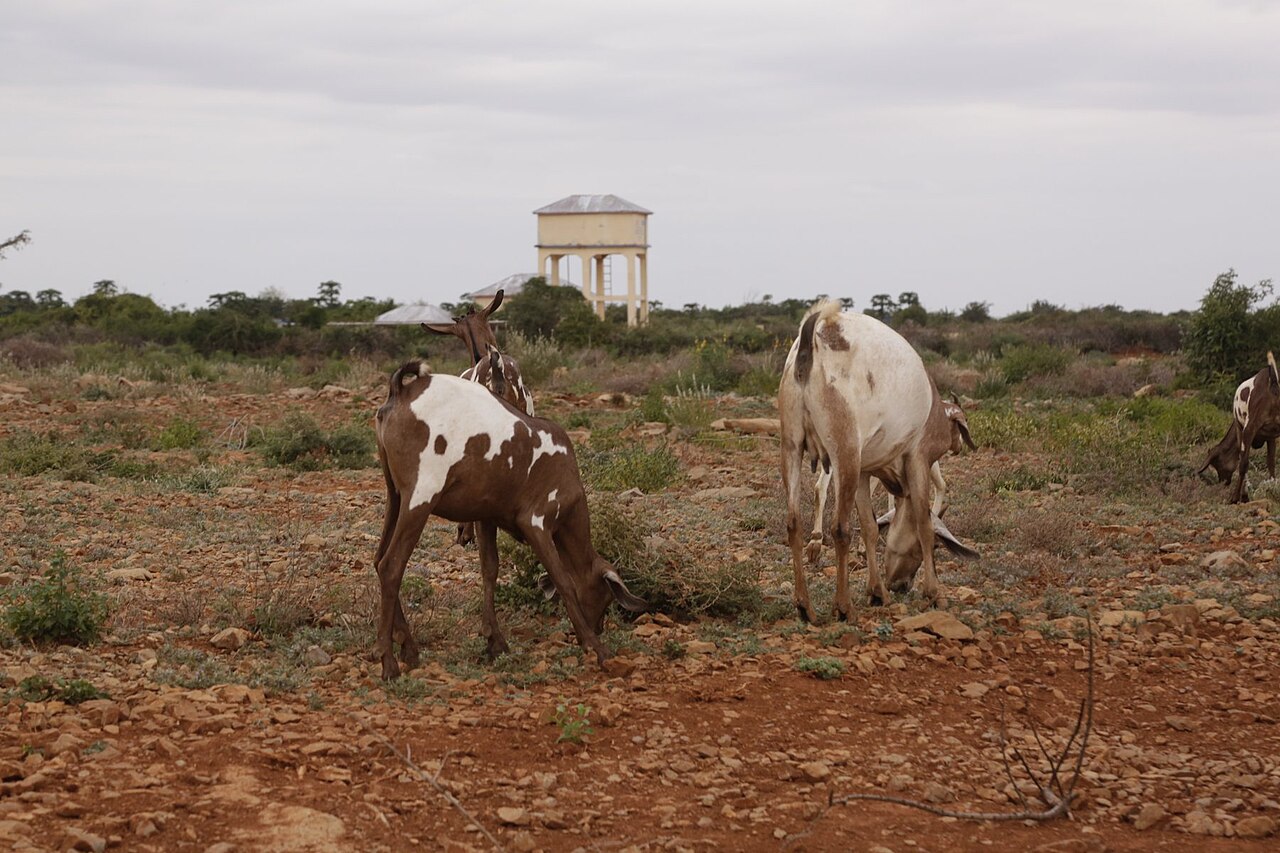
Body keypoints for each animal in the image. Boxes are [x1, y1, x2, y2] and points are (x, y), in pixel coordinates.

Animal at [373, 361, 645, 680]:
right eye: (605, 597)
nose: (598, 627)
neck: (568, 477)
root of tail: (401, 393)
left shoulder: (486, 516)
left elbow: (490, 569)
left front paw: (495, 640)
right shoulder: (536, 522)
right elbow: (563, 580)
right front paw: (596, 646)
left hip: (395, 496)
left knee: (378, 561)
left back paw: (408, 647)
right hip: (421, 496)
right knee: (391, 566)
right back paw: (388, 660)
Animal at [780, 302, 978, 620]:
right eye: (937, 546)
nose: (901, 585)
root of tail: (814, 338)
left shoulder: (865, 470)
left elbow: (871, 528)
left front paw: (876, 591)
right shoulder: (918, 459)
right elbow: (923, 522)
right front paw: (933, 592)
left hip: (792, 448)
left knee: (793, 523)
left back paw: (804, 605)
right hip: (845, 452)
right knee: (839, 528)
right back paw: (843, 606)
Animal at [1199, 352, 1280, 503]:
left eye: (1217, 463)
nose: (1223, 482)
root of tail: (1272, 383)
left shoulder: (1240, 428)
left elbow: (1243, 460)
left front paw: (1243, 495)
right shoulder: (1271, 435)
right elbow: (1271, 462)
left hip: (1249, 427)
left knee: (1243, 463)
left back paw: (1235, 497)